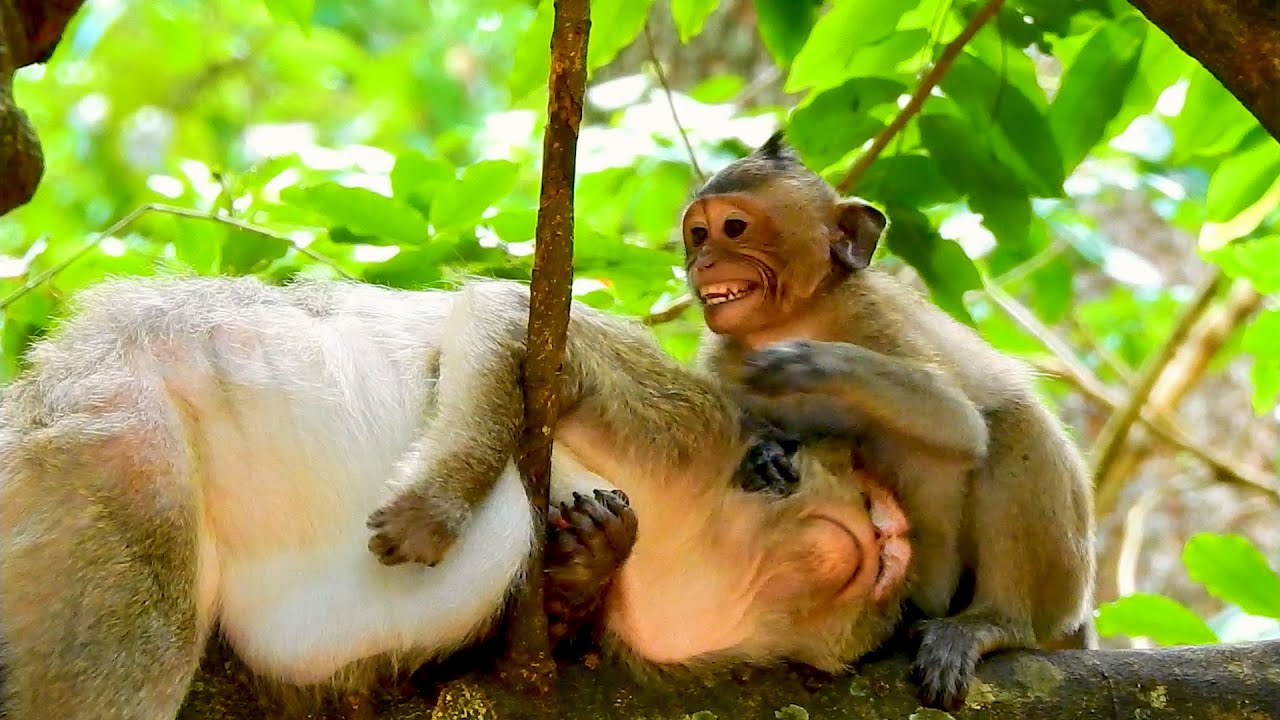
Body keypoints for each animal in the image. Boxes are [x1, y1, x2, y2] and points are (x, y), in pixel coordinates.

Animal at [0, 275, 912, 720]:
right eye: (871, 487)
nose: (893, 535)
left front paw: (586, 571)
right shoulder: (690, 430)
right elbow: (499, 316)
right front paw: (437, 508)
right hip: (110, 421)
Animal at [680, 132, 1096, 710]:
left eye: (733, 228)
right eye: (698, 234)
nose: (703, 261)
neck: (799, 314)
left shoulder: (874, 315)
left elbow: (959, 423)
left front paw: (814, 362)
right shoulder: (723, 359)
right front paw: (765, 451)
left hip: (1062, 586)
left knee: (1008, 426)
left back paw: (987, 621)